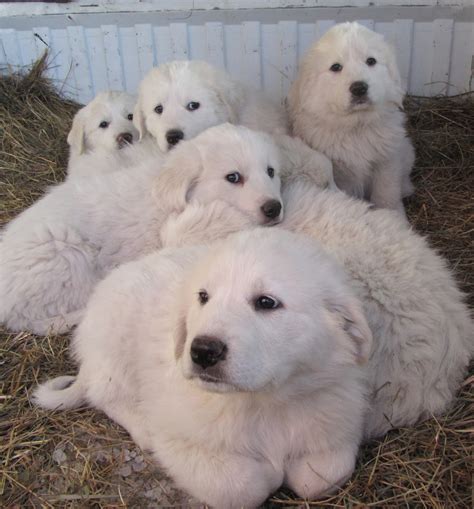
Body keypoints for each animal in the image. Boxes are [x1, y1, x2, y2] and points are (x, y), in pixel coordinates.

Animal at [34, 228, 374, 506]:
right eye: (203, 297)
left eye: (266, 302)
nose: (202, 352)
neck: (264, 403)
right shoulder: (178, 440)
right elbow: (240, 486)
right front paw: (269, 474)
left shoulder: (334, 422)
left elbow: (321, 476)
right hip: (115, 341)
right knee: (105, 393)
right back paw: (140, 423)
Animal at [286, 21, 414, 211]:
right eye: (336, 67)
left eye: (371, 61)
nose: (359, 88)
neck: (356, 127)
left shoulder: (387, 161)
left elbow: (386, 192)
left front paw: (394, 213)